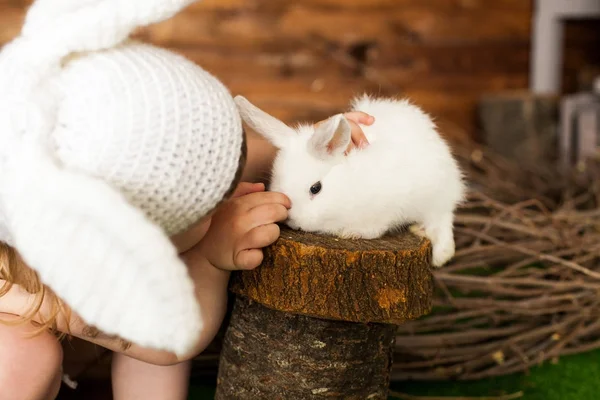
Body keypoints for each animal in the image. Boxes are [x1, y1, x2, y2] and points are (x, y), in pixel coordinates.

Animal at [233, 94, 464, 268]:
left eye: (316, 188)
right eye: (275, 181)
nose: (294, 222)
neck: (346, 185)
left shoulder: (386, 207)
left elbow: (374, 229)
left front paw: (351, 233)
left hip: (437, 194)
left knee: (442, 220)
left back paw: (439, 252)